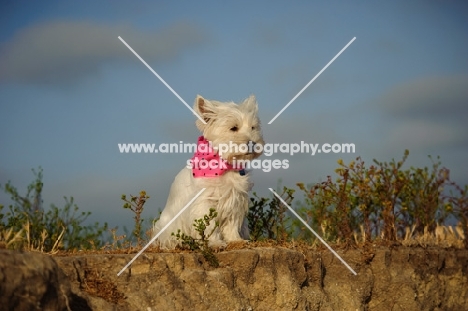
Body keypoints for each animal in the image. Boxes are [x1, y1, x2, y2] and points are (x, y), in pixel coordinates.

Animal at [154, 94, 264, 249]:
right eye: (233, 128)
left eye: (253, 127)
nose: (253, 143)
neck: (224, 165)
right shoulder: (205, 202)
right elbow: (209, 226)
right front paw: (215, 243)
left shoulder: (234, 199)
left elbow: (231, 224)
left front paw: (236, 240)